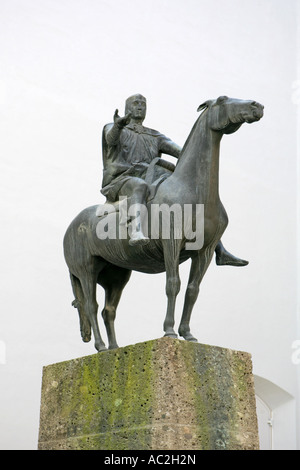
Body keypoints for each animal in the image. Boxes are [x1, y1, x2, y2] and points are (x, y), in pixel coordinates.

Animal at [62, 96, 262, 352]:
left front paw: (188, 334)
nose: (256, 106)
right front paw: (169, 331)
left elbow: (192, 291)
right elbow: (173, 285)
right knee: (91, 306)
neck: (192, 189)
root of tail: (71, 228)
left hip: (116, 274)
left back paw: (115, 348)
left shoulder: (205, 251)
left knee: (109, 311)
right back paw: (101, 347)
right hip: (86, 270)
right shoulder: (171, 243)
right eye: (222, 100)